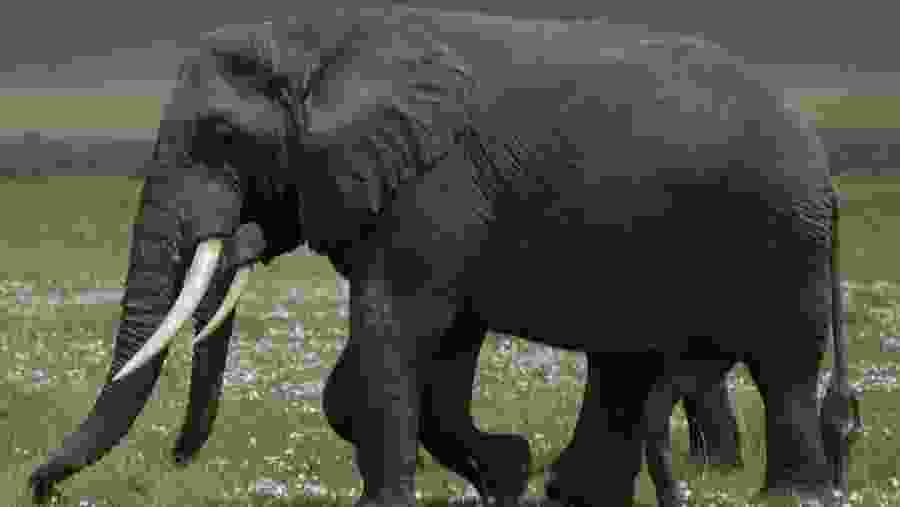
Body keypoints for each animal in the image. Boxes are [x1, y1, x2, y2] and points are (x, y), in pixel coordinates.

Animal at [28, 5, 862, 507]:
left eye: (225, 139)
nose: (37, 485)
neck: (319, 36)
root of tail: (821, 150)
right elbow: (429, 349)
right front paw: (507, 474)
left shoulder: (438, 184)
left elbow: (395, 330)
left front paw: (425, 492)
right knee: (627, 367)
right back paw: (570, 494)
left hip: (786, 231)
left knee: (784, 364)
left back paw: (793, 497)